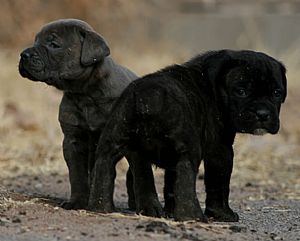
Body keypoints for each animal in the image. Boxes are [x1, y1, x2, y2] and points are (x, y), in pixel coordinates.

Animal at [19, 18, 139, 210]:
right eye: (35, 41)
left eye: (54, 45)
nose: (23, 55)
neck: (84, 93)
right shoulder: (73, 141)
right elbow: (77, 175)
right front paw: (77, 202)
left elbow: (100, 172)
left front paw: (99, 204)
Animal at [87, 49, 286, 222]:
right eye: (241, 91)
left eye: (277, 93)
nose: (262, 114)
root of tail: (150, 96)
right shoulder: (220, 150)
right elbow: (219, 183)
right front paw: (223, 214)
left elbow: (170, 184)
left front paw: (169, 210)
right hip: (188, 152)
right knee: (186, 182)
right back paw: (193, 216)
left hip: (113, 143)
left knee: (111, 171)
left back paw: (102, 208)